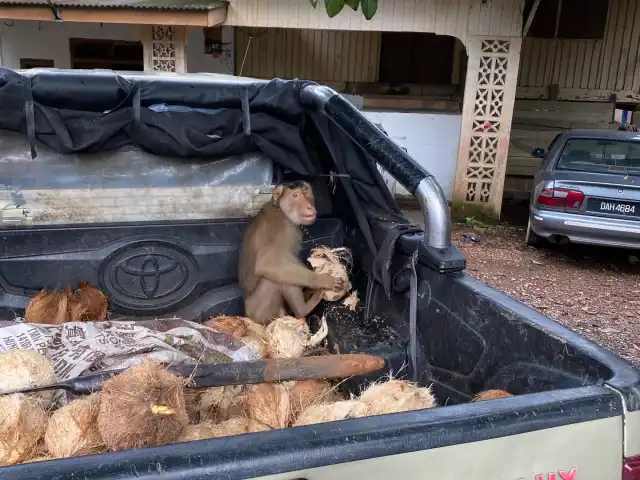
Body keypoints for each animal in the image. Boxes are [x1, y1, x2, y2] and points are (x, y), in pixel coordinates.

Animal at [239, 181, 344, 326]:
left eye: (305, 191)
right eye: (295, 195)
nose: (309, 206)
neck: (282, 211)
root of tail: (247, 315)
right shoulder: (281, 226)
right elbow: (268, 263)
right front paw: (324, 280)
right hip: (259, 312)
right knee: (276, 278)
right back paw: (302, 309)